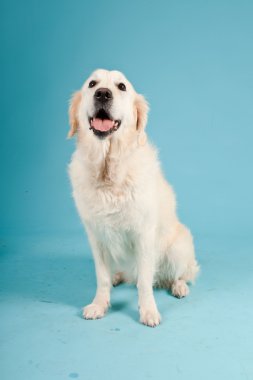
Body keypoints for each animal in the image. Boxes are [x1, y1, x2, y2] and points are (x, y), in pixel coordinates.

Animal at [67, 68, 200, 326]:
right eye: (92, 84)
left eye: (121, 87)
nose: (103, 94)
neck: (108, 171)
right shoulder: (96, 235)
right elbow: (101, 277)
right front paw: (99, 304)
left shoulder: (144, 234)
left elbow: (145, 282)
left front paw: (148, 311)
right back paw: (118, 277)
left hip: (178, 247)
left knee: (182, 274)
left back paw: (179, 287)